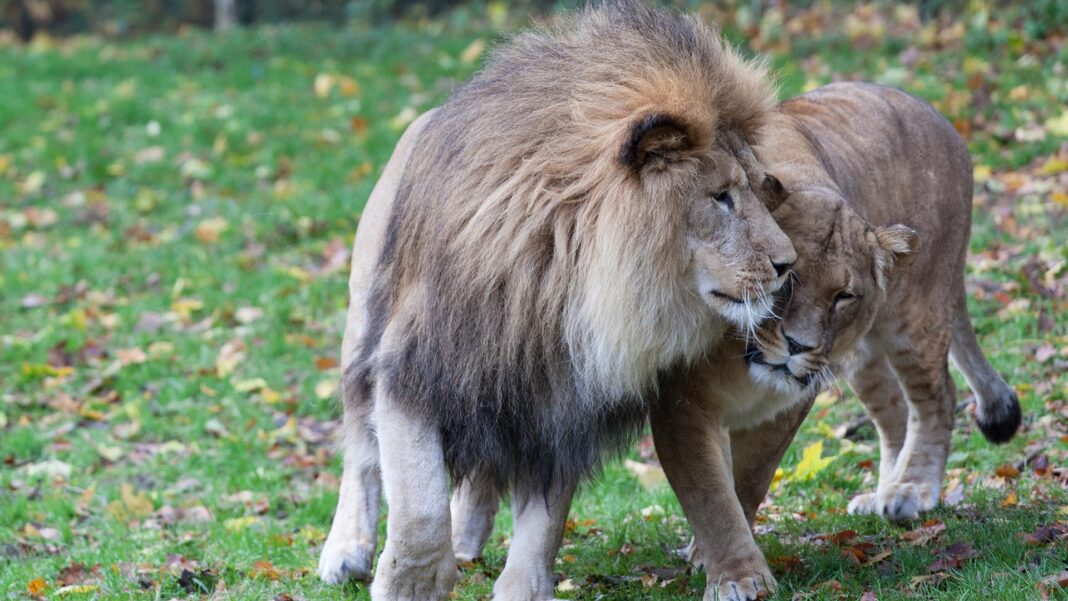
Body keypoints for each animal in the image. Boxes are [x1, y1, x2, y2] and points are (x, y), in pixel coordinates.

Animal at [316, 2, 794, 597]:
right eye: (722, 197)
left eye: (759, 190)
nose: (788, 263)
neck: (559, 282)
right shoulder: (417, 367)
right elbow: (418, 508)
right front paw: (412, 584)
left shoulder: (563, 403)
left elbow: (543, 520)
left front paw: (522, 586)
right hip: (363, 324)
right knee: (360, 449)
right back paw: (346, 552)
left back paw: (466, 537)